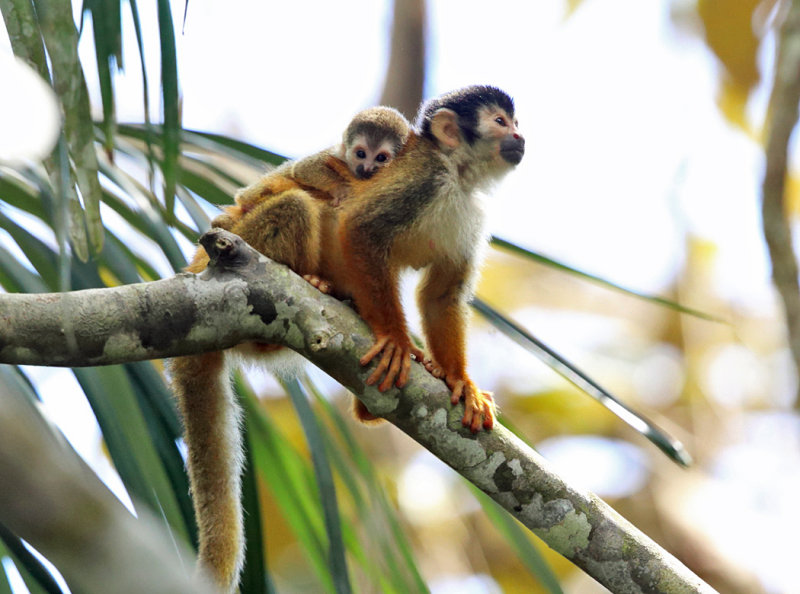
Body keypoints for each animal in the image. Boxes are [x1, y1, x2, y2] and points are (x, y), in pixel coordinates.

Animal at [169, 85, 524, 588]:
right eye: (499, 122)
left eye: (514, 122)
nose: (520, 137)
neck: (458, 176)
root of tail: (198, 271)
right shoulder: (421, 179)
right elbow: (360, 229)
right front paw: (396, 341)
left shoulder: (472, 214)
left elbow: (441, 294)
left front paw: (460, 380)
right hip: (241, 239)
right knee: (298, 204)